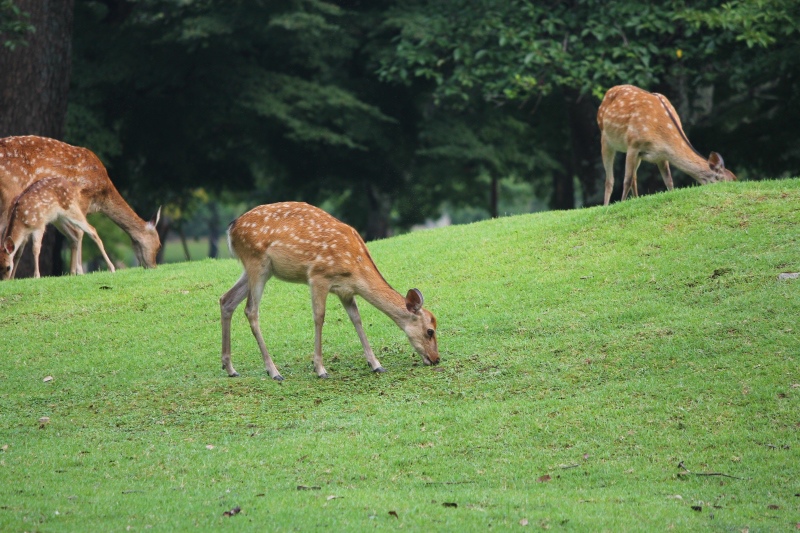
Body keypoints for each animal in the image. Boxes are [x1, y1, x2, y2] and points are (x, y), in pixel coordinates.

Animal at [0, 133, 162, 276]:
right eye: (159, 245)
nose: (153, 266)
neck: (101, 196)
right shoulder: (82, 200)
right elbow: (81, 232)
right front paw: (79, 271)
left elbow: (73, 235)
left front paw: (73, 272)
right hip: (12, 191)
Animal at [219, 202, 440, 380]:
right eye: (430, 331)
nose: (436, 358)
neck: (355, 268)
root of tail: (231, 228)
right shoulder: (318, 276)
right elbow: (319, 317)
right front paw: (320, 369)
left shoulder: (346, 291)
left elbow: (356, 319)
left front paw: (376, 365)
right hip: (257, 262)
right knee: (251, 310)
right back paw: (273, 371)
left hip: (258, 269)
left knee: (226, 300)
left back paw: (230, 368)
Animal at [592, 84, 736, 206]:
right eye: (724, 182)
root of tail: (608, 92)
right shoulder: (633, 144)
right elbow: (626, 180)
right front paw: (622, 204)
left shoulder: (661, 155)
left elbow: (669, 180)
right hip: (606, 139)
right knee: (610, 179)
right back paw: (606, 206)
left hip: (636, 155)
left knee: (634, 177)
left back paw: (636, 199)